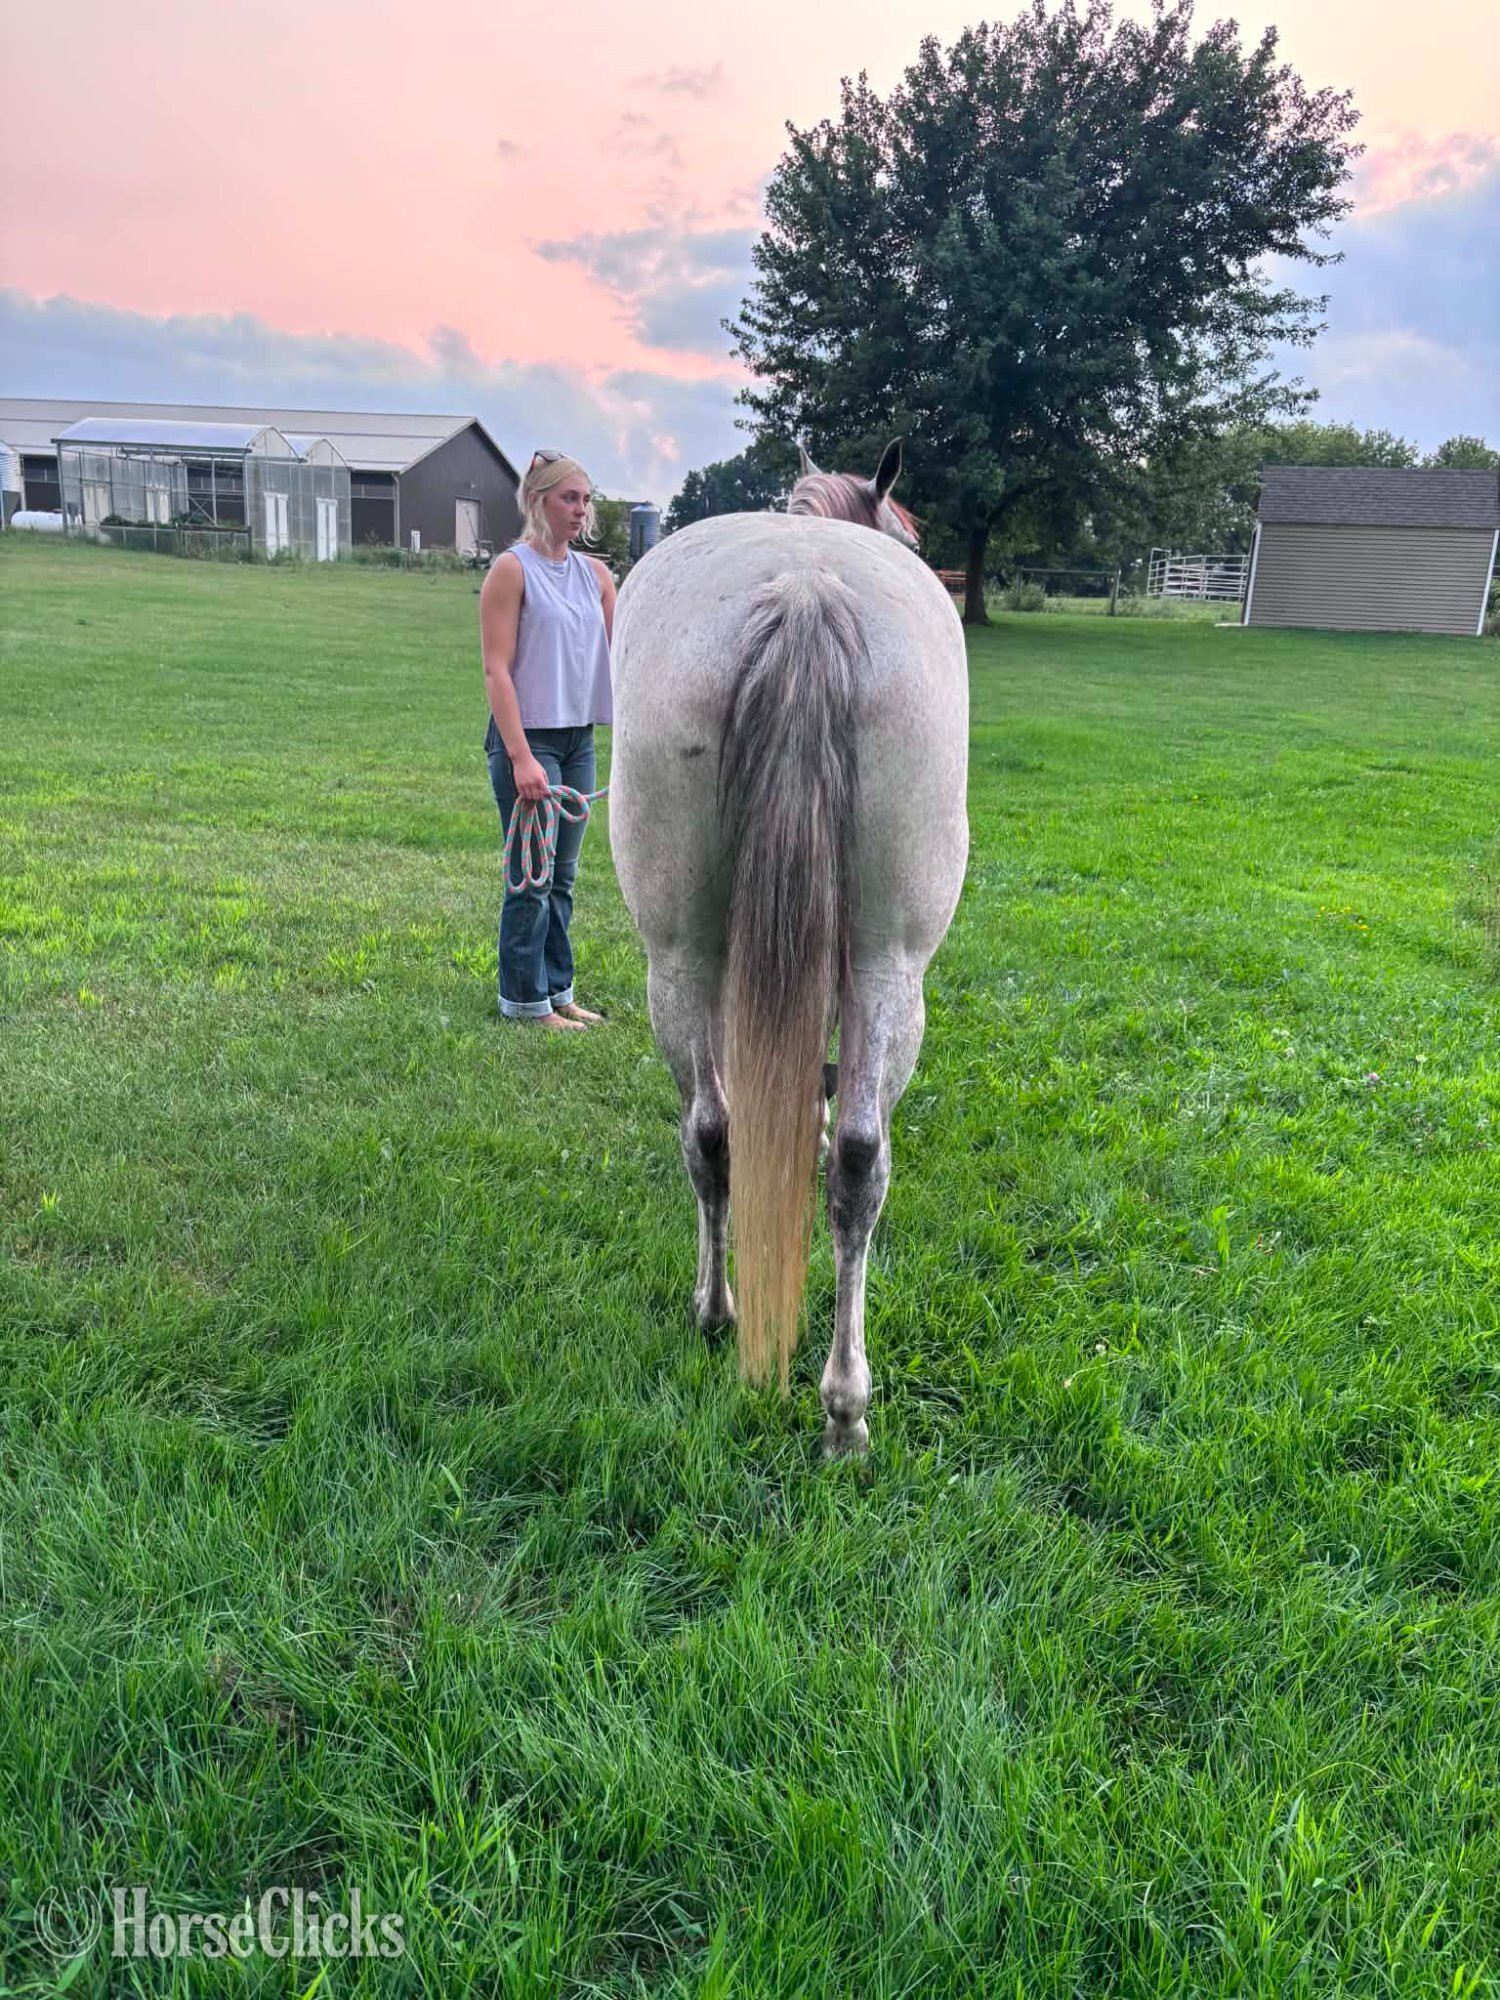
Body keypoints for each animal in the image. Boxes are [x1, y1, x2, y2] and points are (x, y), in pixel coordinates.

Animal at [609, 441, 969, 1455]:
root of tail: (805, 593)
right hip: (888, 966)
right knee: (847, 1157)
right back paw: (834, 1398)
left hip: (685, 960)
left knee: (722, 1133)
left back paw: (749, 1335)